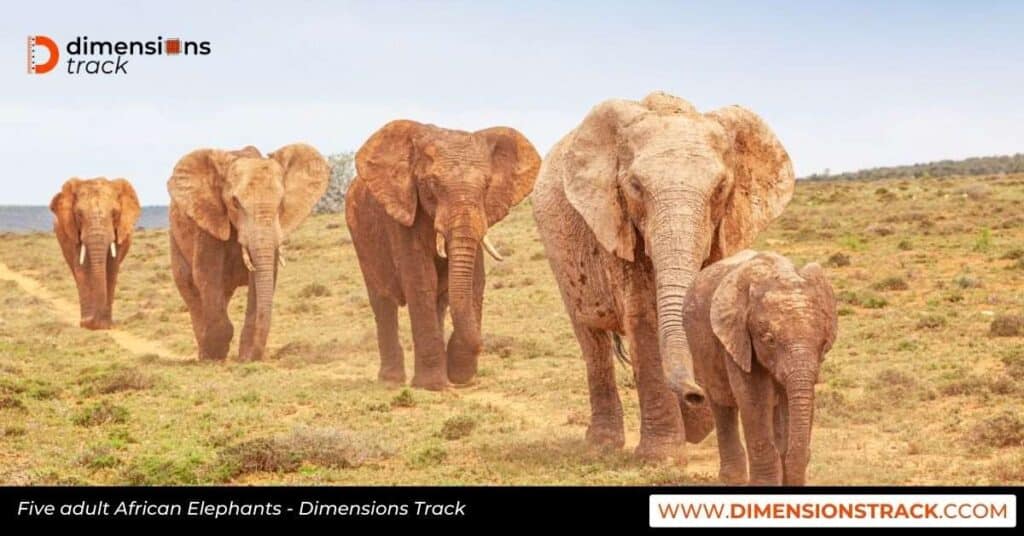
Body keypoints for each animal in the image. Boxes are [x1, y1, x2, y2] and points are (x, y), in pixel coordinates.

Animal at [49, 176, 140, 330]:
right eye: (79, 214)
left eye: (114, 213)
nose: (89, 321)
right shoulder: (73, 230)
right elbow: (81, 268)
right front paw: (88, 325)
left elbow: (111, 268)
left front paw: (105, 325)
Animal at [167, 143, 327, 360]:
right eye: (235, 202)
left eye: (281, 202)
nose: (255, 357)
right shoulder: (209, 220)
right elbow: (206, 274)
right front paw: (216, 355)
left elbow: (262, 279)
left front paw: (246, 357)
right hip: (175, 239)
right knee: (190, 289)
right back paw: (205, 354)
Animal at [348, 120, 544, 389]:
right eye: (433, 184)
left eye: (486, 186)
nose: (495, 347)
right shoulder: (403, 213)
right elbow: (422, 280)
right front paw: (432, 386)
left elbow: (474, 280)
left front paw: (461, 378)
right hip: (361, 239)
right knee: (383, 301)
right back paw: (391, 381)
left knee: (437, 302)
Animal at [532, 93, 794, 461]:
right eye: (635, 187)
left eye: (720, 188)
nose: (695, 394)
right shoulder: (617, 226)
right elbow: (642, 321)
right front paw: (661, 457)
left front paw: (696, 427)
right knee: (592, 339)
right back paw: (602, 444)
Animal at [679, 250, 839, 483]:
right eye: (769, 340)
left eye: (824, 343)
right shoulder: (737, 337)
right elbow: (755, 397)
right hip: (698, 344)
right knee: (721, 401)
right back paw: (732, 479)